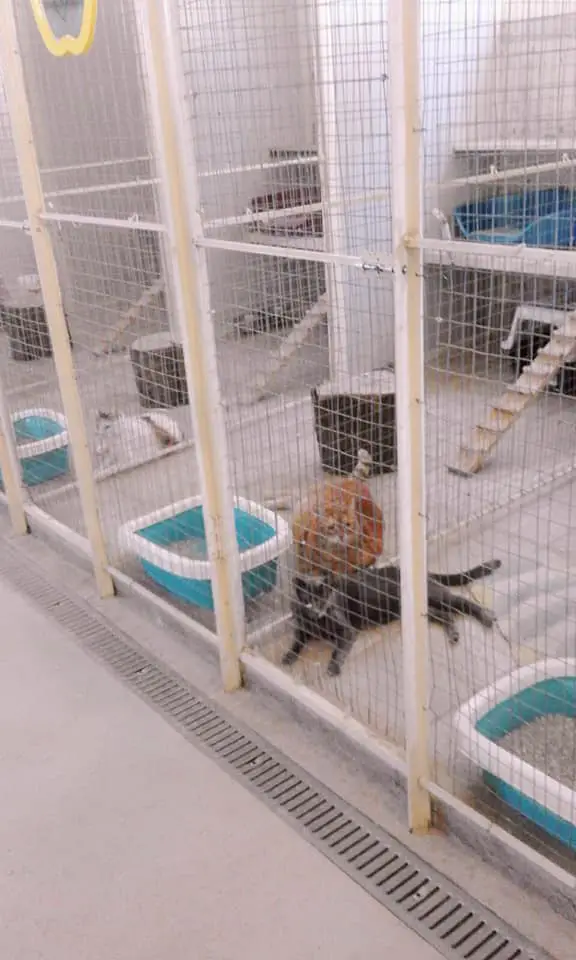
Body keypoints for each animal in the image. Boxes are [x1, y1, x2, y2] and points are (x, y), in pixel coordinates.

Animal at [282, 559, 501, 677]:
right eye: (308, 602)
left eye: (324, 600)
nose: (317, 612)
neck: (317, 624)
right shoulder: (302, 628)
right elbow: (296, 641)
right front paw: (288, 656)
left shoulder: (347, 630)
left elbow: (338, 650)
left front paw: (333, 667)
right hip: (420, 610)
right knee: (446, 614)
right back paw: (454, 634)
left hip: (436, 597)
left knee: (462, 602)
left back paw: (486, 617)